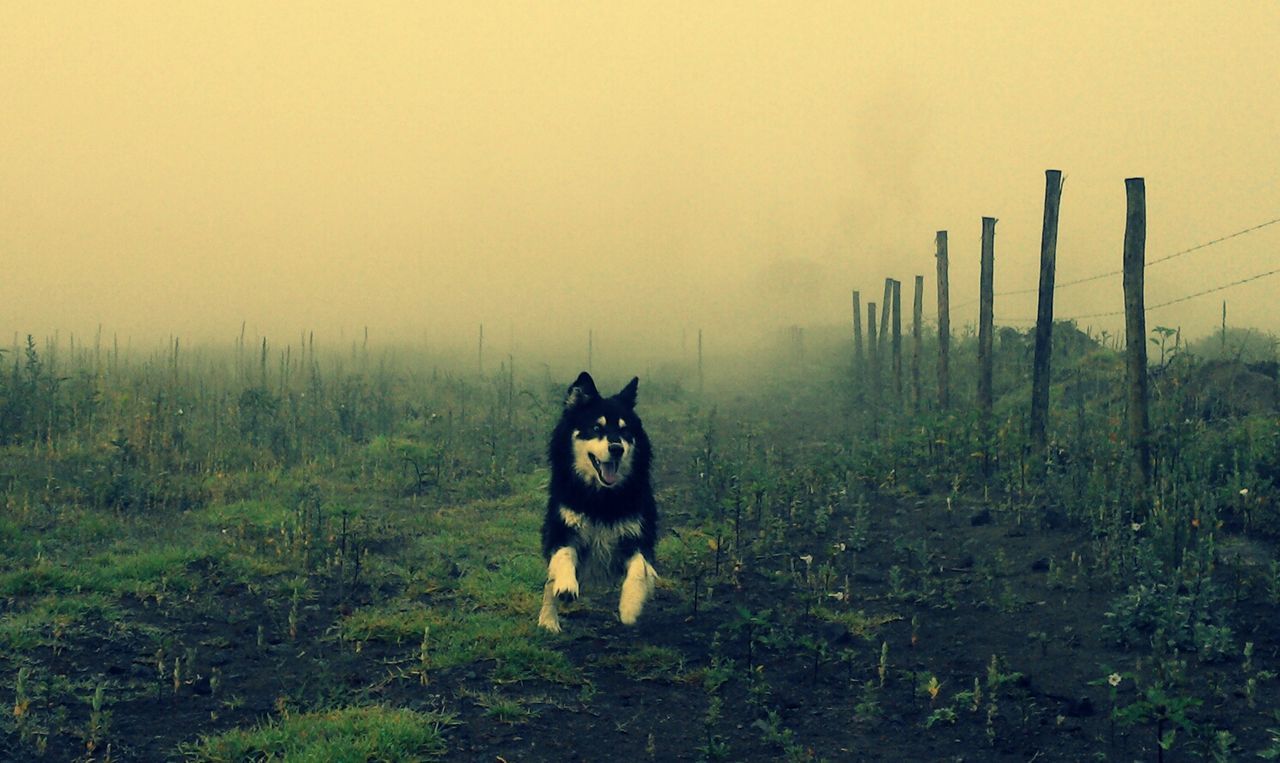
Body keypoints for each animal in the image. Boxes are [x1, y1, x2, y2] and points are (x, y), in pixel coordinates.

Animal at [540, 371, 660, 632]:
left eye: (625, 431)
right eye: (596, 427)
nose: (616, 448)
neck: (601, 498)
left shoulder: (638, 534)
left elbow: (639, 569)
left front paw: (630, 607)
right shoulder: (563, 526)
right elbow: (563, 555)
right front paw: (566, 585)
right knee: (549, 583)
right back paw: (548, 620)